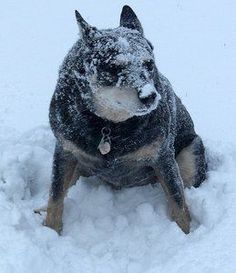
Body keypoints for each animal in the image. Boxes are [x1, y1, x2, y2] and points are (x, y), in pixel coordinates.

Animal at [44, 5, 206, 233]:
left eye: (149, 64)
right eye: (114, 67)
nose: (150, 95)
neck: (109, 124)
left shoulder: (163, 156)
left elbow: (178, 201)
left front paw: (185, 234)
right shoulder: (65, 150)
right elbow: (55, 195)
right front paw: (50, 230)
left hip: (191, 156)